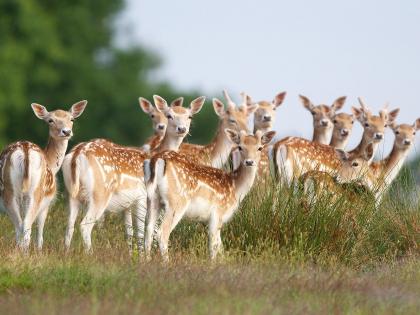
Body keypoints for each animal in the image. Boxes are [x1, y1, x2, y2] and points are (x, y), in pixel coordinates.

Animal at [0, 100, 87, 251]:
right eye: (50, 120)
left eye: (72, 119)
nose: (66, 131)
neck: (52, 164)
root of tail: (25, 152)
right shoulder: (47, 203)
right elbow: (40, 231)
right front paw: (39, 250)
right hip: (34, 192)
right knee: (25, 226)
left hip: (12, 193)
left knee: (20, 226)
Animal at [62, 95, 205, 253]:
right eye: (169, 115)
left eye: (190, 116)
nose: (182, 129)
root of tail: (76, 155)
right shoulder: (142, 197)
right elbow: (141, 231)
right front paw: (141, 255)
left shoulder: (127, 205)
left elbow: (129, 232)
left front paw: (132, 254)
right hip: (99, 193)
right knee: (85, 225)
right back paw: (90, 254)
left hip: (72, 194)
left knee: (69, 225)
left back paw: (66, 253)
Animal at [144, 128, 276, 262]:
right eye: (240, 147)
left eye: (259, 147)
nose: (249, 162)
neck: (235, 188)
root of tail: (157, 159)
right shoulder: (218, 213)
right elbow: (214, 245)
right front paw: (213, 263)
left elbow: (220, 246)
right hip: (177, 202)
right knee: (162, 233)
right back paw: (167, 263)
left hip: (153, 199)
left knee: (148, 231)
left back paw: (146, 260)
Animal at [272, 97, 400, 184]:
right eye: (366, 124)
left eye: (385, 125)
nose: (379, 135)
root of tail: (280, 145)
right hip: (293, 175)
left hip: (277, 177)